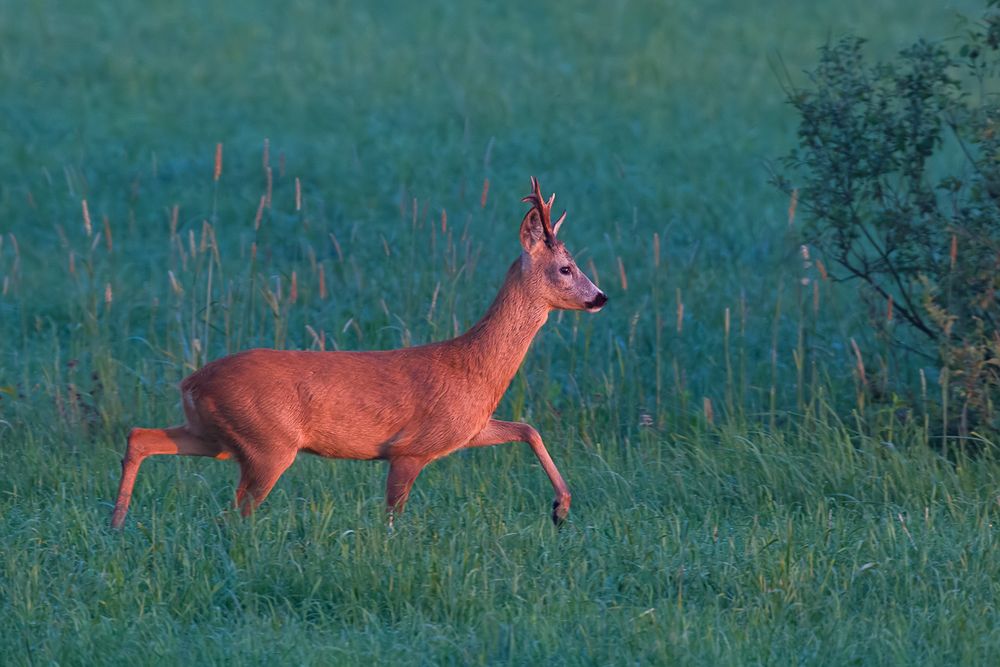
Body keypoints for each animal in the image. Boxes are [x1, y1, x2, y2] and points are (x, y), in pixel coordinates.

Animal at [112, 175, 604, 528]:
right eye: (566, 268)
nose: (600, 297)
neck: (474, 369)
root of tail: (191, 381)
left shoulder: (468, 430)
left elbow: (527, 428)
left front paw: (561, 508)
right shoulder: (411, 449)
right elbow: (392, 517)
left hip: (218, 437)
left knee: (141, 437)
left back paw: (117, 521)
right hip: (268, 443)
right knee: (236, 509)